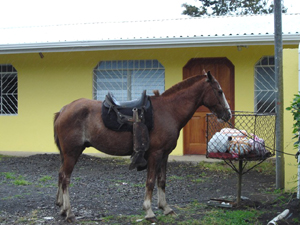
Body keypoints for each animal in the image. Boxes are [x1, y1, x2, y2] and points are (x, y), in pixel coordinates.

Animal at [54, 70, 232, 221]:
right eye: (219, 91)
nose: (228, 114)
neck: (169, 111)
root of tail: (64, 110)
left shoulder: (164, 155)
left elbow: (162, 181)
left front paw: (166, 208)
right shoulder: (155, 154)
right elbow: (151, 182)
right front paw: (149, 211)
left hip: (65, 154)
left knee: (61, 175)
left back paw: (62, 209)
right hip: (72, 153)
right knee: (65, 178)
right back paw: (69, 212)